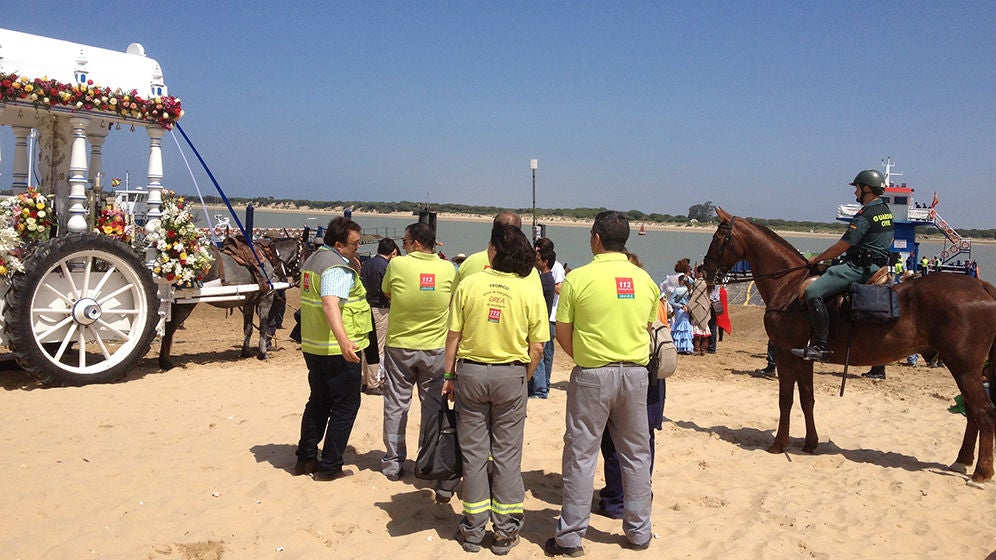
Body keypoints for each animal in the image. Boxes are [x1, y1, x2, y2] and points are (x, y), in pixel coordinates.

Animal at [700, 209, 996, 486]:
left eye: (718, 238)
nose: (706, 271)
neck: (789, 286)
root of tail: (981, 286)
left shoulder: (785, 354)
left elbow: (786, 400)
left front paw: (778, 444)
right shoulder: (803, 358)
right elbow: (807, 399)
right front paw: (810, 443)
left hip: (964, 368)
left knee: (983, 412)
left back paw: (980, 472)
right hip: (962, 369)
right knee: (972, 413)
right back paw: (962, 460)